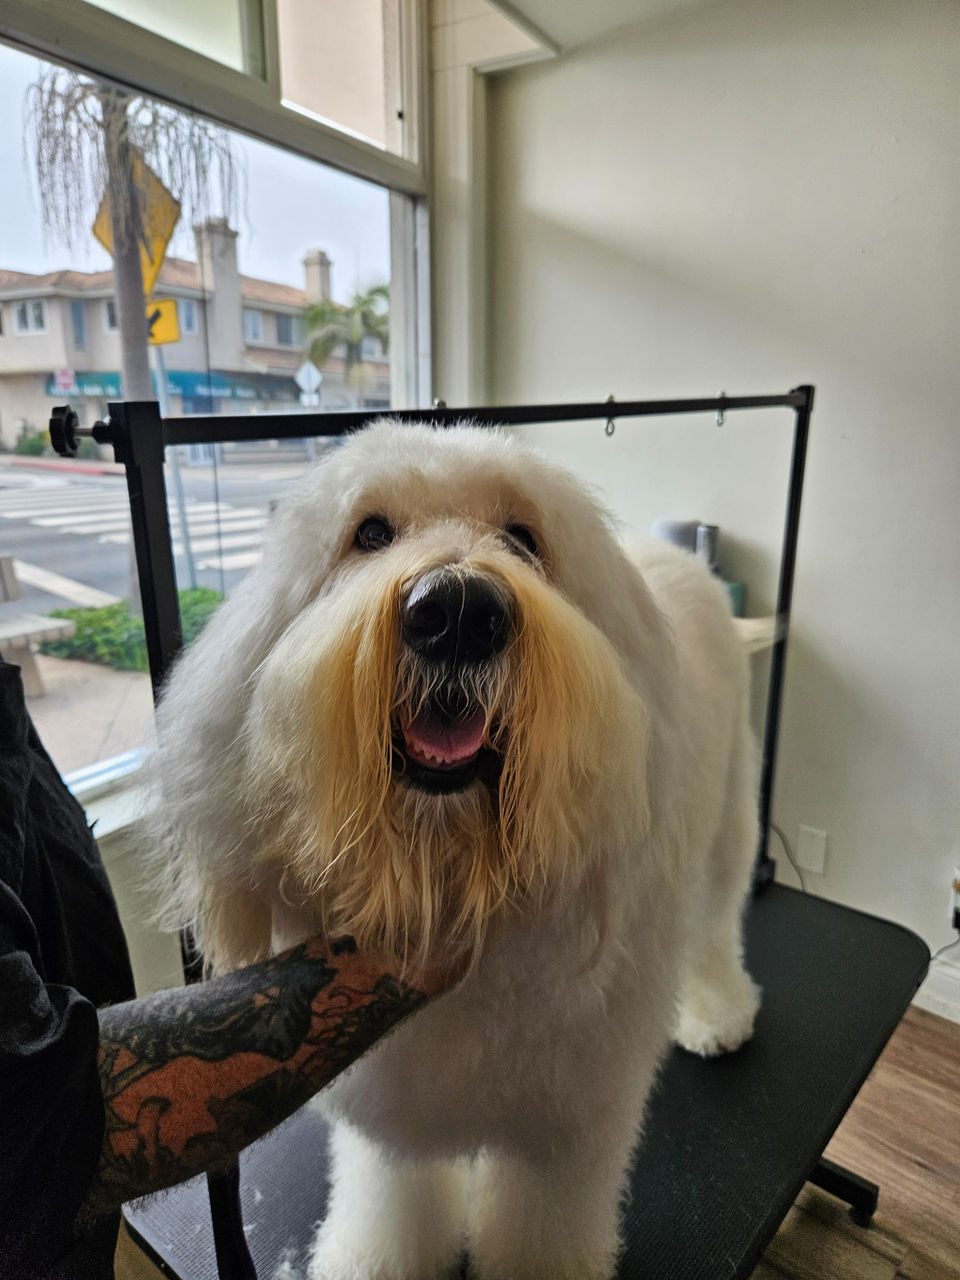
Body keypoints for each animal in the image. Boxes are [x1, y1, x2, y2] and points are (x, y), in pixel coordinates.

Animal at [149, 420, 761, 1279]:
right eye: (370, 532)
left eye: (524, 537)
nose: (459, 610)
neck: (447, 863)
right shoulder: (394, 1115)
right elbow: (392, 1201)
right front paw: (374, 1258)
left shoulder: (568, 1136)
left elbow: (541, 1233)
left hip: (728, 816)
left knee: (716, 923)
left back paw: (717, 1012)